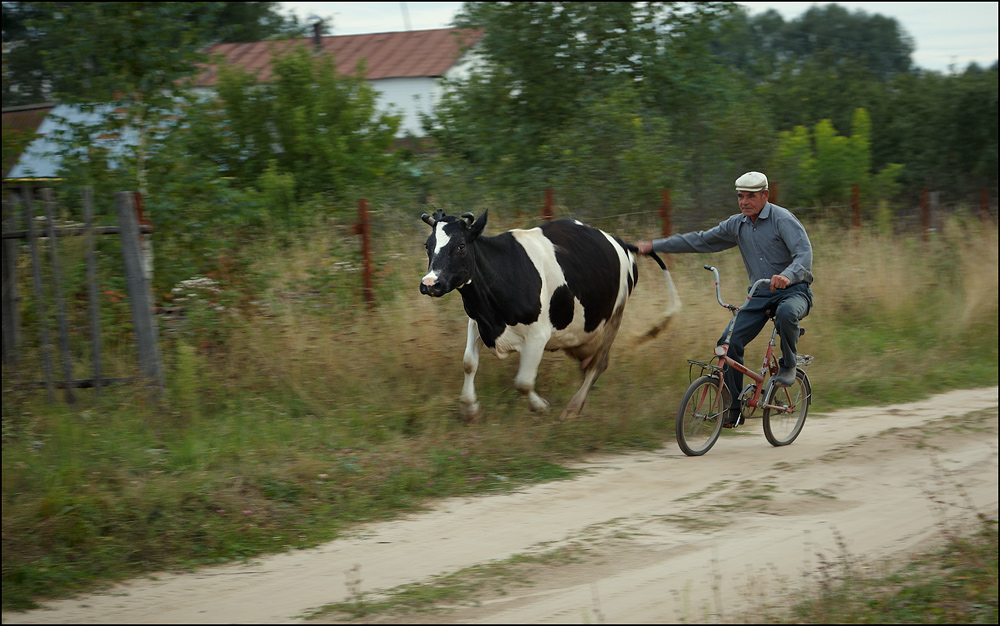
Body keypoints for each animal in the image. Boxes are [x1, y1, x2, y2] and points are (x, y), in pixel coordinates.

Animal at [422, 208, 672, 420]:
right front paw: (469, 408)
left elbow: (523, 382)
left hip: (615, 315)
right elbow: (469, 363)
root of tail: (618, 241)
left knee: (599, 363)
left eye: (461, 245)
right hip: (582, 333)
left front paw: (540, 406)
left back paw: (573, 408)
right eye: (427, 245)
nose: (429, 283)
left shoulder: (538, 335)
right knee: (588, 363)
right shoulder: (477, 322)